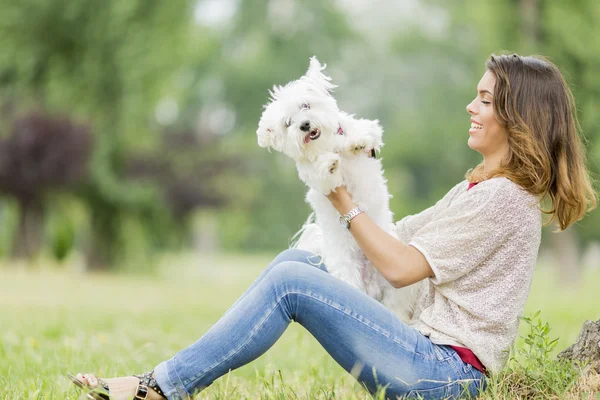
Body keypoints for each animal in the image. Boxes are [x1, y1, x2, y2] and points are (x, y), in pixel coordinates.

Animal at [256, 57, 418, 322]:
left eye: (305, 105)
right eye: (288, 124)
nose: (304, 125)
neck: (326, 142)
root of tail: (370, 285)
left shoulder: (364, 129)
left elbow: (363, 133)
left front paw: (354, 143)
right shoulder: (312, 175)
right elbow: (320, 170)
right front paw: (330, 163)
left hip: (398, 280)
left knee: (396, 305)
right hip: (347, 275)